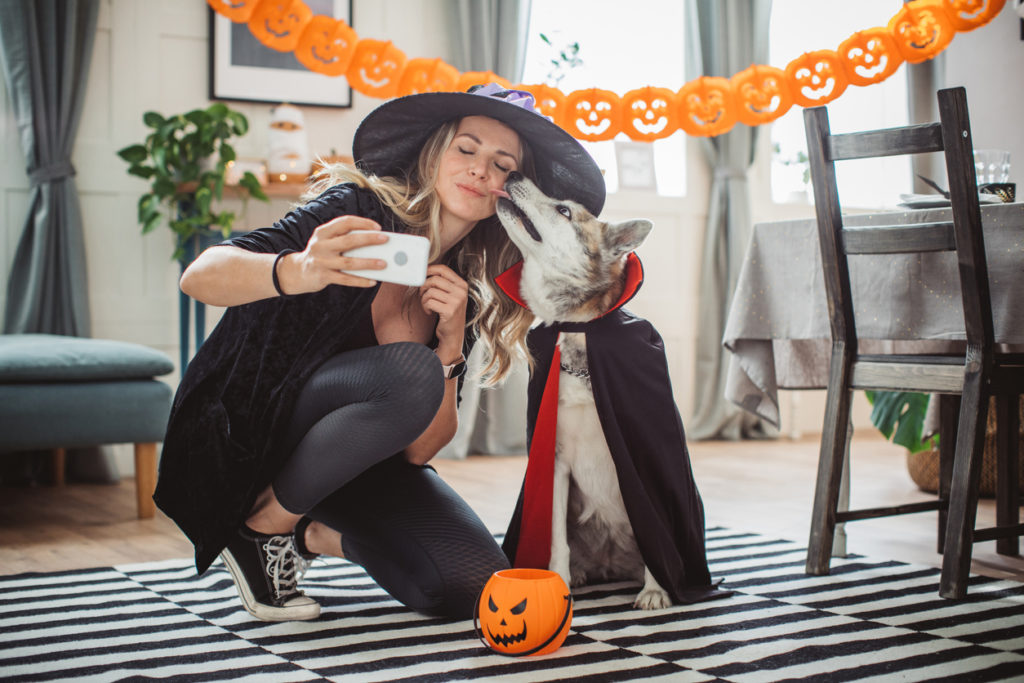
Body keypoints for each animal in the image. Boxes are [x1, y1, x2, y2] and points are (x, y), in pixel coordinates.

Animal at [491, 172, 675, 610]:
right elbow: (556, 538)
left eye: (564, 210)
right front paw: (556, 583)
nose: (513, 173)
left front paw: (656, 590)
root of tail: (609, 564)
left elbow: (654, 529)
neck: (579, 328)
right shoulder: (555, 461)